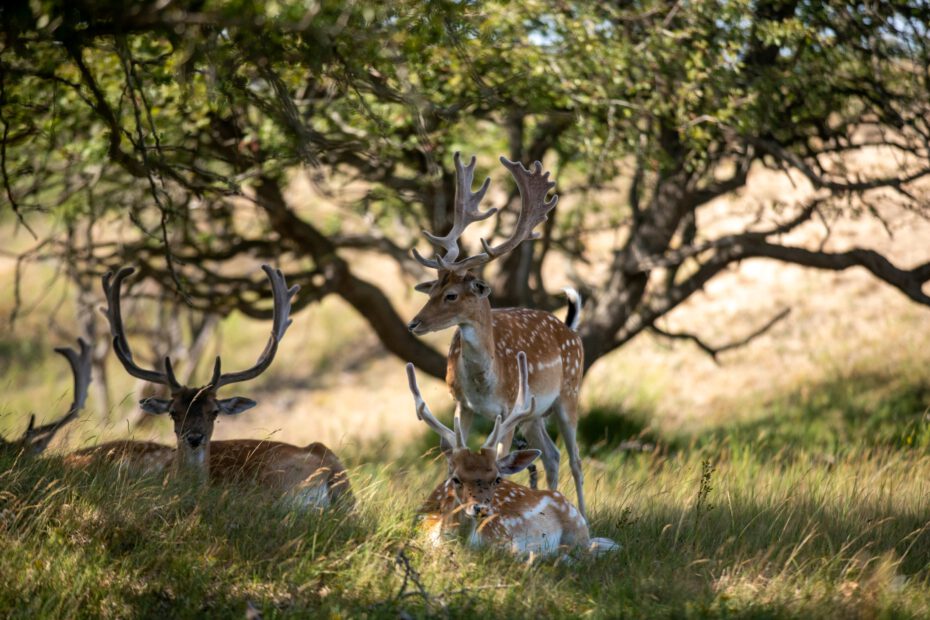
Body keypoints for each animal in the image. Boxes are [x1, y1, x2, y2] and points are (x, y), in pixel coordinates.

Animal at [406, 154, 588, 520]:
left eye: (452, 295)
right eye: (432, 290)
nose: (413, 324)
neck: (485, 382)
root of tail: (571, 329)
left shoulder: (508, 409)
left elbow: (503, 464)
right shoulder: (461, 403)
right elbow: (454, 457)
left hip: (569, 393)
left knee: (575, 459)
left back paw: (585, 514)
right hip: (534, 413)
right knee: (551, 455)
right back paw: (552, 498)